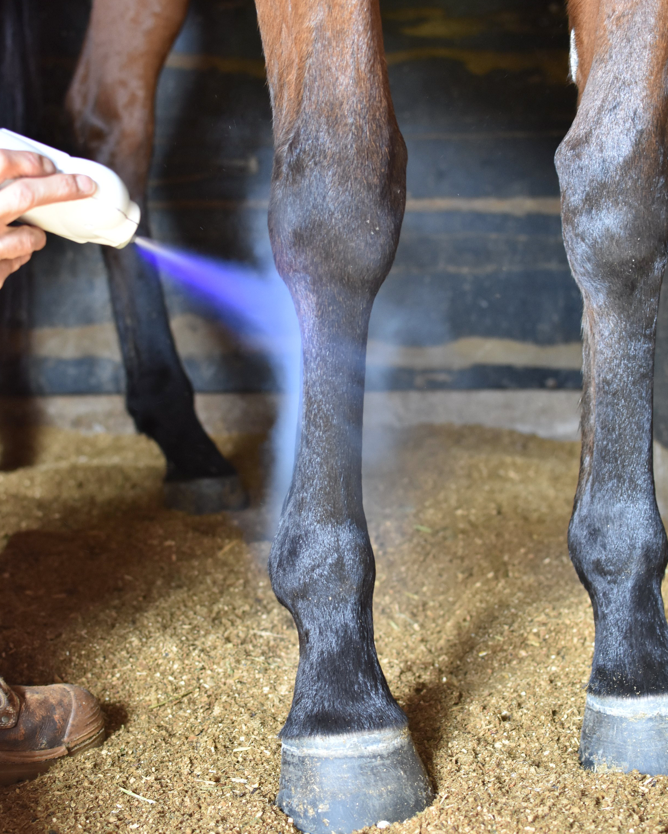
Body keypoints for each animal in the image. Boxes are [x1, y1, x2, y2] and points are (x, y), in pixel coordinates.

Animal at [6, 0, 668, 831]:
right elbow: (339, 205)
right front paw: (341, 694)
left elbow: (621, 199)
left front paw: (633, 646)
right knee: (114, 125)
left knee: (110, 125)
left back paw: (188, 444)